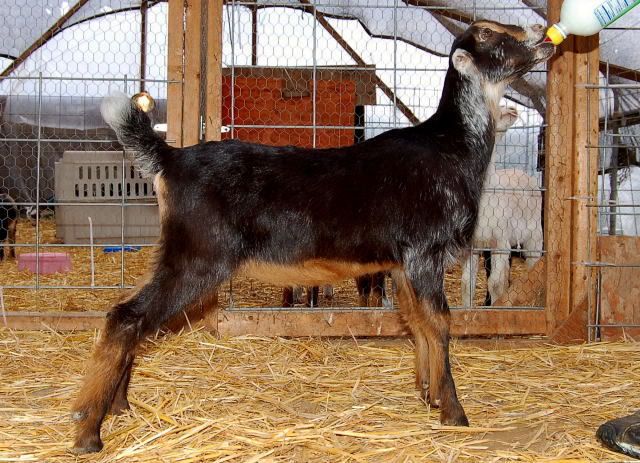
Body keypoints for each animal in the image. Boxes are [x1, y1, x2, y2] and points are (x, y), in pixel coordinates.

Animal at [461, 108, 543, 306]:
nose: (512, 110)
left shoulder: (500, 241)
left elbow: (495, 284)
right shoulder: (471, 246)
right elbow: (467, 284)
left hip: (535, 236)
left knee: (533, 268)